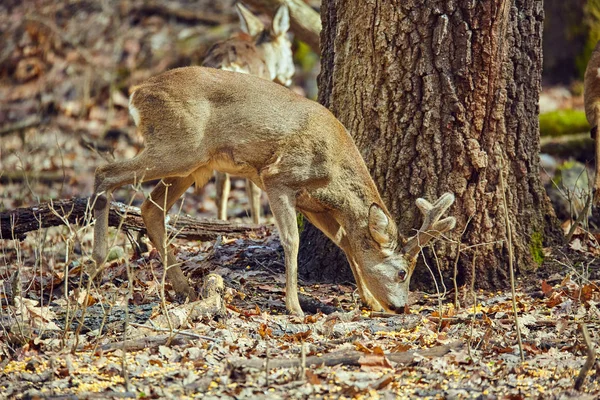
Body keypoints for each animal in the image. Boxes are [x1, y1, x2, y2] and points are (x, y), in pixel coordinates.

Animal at [91, 66, 454, 316]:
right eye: (402, 272)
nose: (400, 307)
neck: (333, 172)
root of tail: (137, 92)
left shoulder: (315, 206)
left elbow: (346, 243)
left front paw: (368, 301)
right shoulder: (277, 177)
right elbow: (292, 240)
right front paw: (295, 306)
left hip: (191, 164)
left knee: (151, 208)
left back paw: (186, 290)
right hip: (179, 149)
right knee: (104, 173)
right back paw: (97, 259)